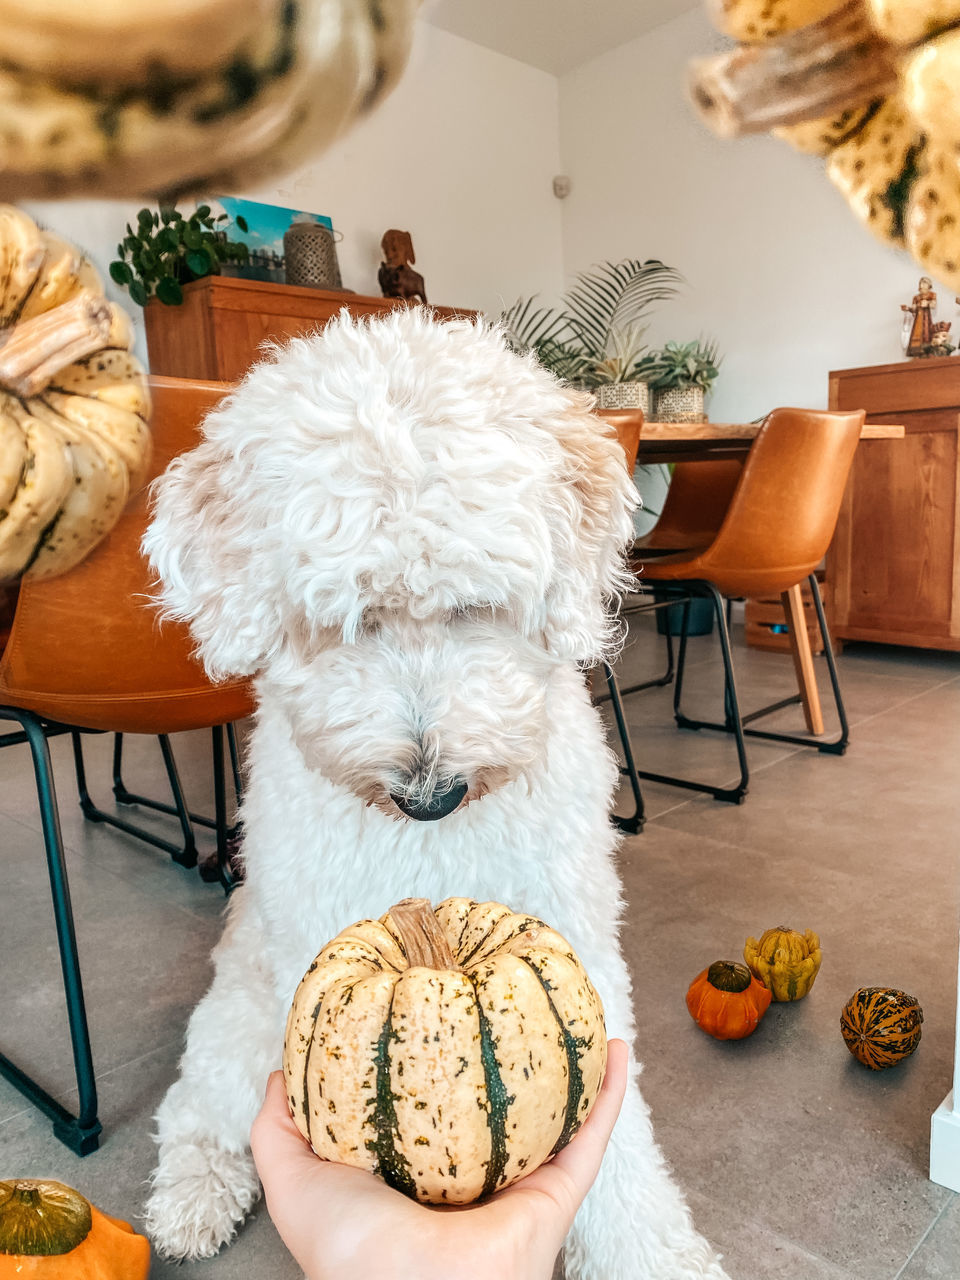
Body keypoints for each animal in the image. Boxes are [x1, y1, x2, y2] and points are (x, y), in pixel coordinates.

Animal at [142, 304, 727, 1274]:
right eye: (341, 621)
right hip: (236, 1022)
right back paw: (192, 1201)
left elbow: (618, 1147)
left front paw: (650, 1252)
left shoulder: (576, 938)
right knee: (195, 1110)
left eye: (474, 606)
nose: (428, 794)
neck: (440, 847)